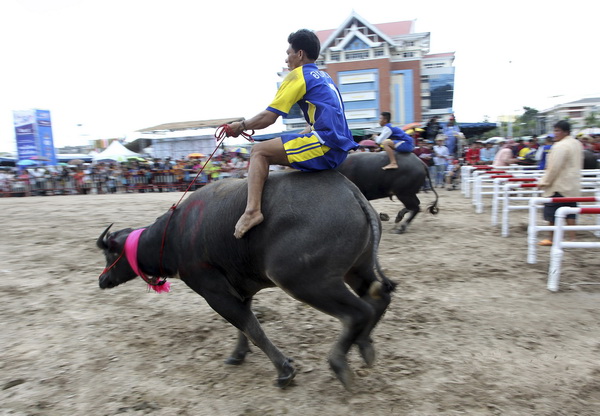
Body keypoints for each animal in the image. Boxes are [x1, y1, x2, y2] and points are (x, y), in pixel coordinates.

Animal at [96, 170, 396, 390]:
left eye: (110, 252)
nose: (102, 280)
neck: (174, 236)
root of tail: (351, 192)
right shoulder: (240, 287)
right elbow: (245, 325)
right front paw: (238, 354)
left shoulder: (214, 292)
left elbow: (252, 328)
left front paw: (285, 371)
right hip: (357, 268)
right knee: (379, 298)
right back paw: (365, 346)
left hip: (304, 281)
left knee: (359, 312)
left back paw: (340, 363)